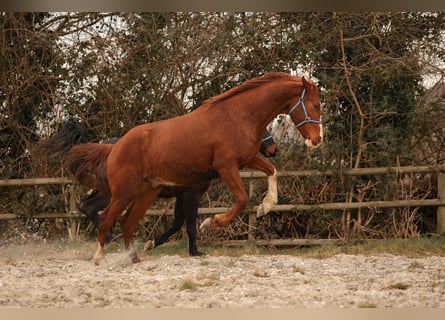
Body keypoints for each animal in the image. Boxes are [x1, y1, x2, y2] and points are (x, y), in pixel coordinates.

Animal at [38, 117, 276, 255]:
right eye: (262, 129)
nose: (274, 149)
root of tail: (106, 148)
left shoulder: (181, 196)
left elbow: (177, 223)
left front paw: (152, 243)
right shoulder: (192, 195)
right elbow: (189, 224)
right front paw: (196, 252)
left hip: (105, 191)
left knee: (85, 206)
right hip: (114, 193)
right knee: (91, 208)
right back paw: (112, 236)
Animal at [67, 72, 322, 264]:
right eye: (316, 105)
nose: (317, 140)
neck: (237, 116)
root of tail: (115, 147)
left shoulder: (247, 160)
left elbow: (272, 171)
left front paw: (265, 207)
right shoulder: (225, 167)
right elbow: (240, 200)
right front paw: (211, 223)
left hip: (147, 192)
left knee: (126, 221)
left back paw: (135, 259)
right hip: (123, 192)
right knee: (107, 217)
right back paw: (100, 257)